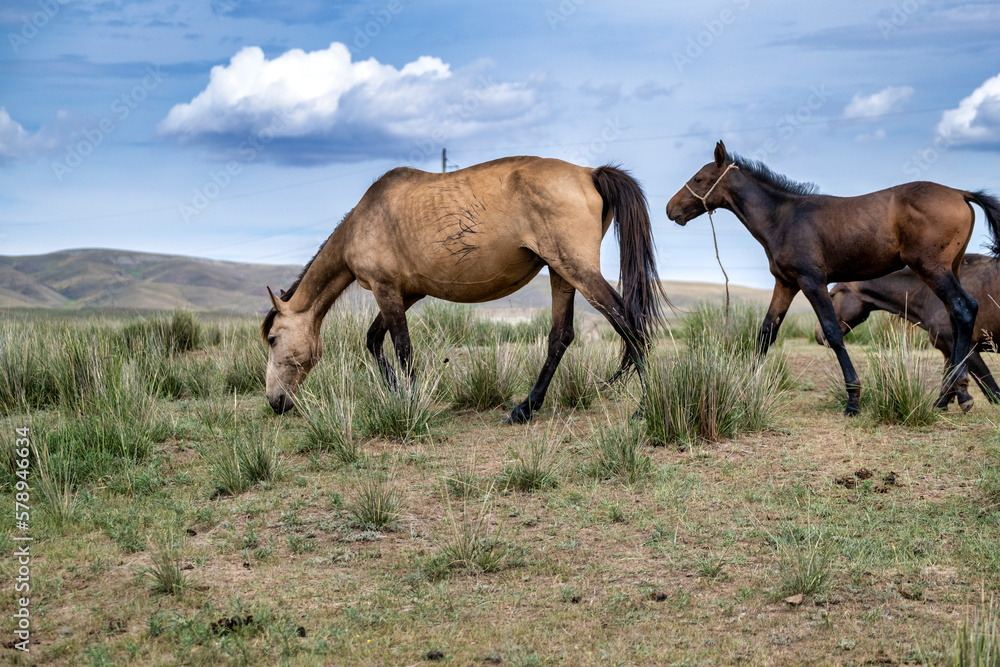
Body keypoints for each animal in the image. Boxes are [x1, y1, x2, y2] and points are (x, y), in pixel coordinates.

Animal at [260, 157, 664, 422]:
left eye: (274, 339)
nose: (275, 401)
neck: (365, 219)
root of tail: (588, 173)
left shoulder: (385, 288)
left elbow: (401, 347)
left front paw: (410, 401)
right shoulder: (407, 292)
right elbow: (375, 340)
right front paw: (398, 392)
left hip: (578, 271)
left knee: (629, 323)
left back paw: (647, 407)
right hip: (561, 273)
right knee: (560, 337)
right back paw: (525, 408)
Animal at [816, 253, 1000, 404]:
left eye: (832, 294)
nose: (818, 334)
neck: (928, 294)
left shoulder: (969, 350)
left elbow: (992, 390)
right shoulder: (948, 351)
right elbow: (948, 385)